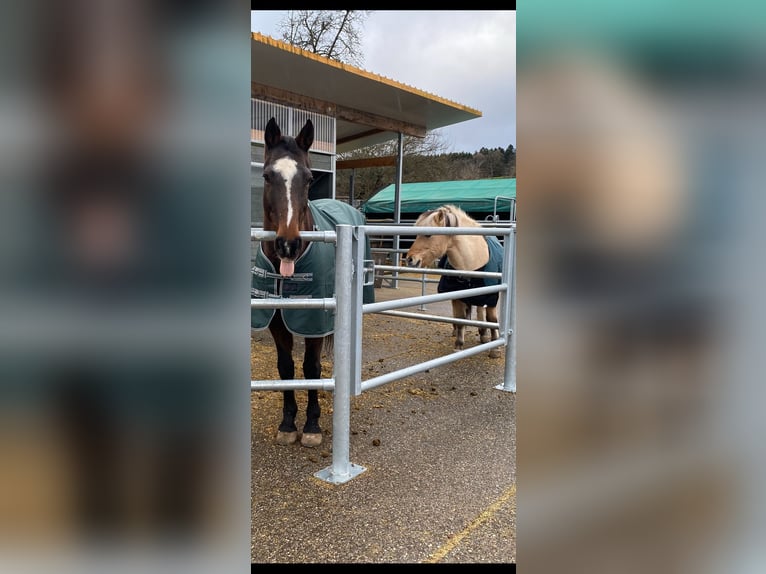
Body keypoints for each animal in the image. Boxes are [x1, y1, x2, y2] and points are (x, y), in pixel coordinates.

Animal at [404, 206, 508, 360]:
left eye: (428, 235)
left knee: (480, 312)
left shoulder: (491, 297)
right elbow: (460, 319)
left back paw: (484, 335)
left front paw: (495, 349)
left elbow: (492, 320)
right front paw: (458, 346)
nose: (410, 259)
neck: (472, 262)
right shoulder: (458, 296)